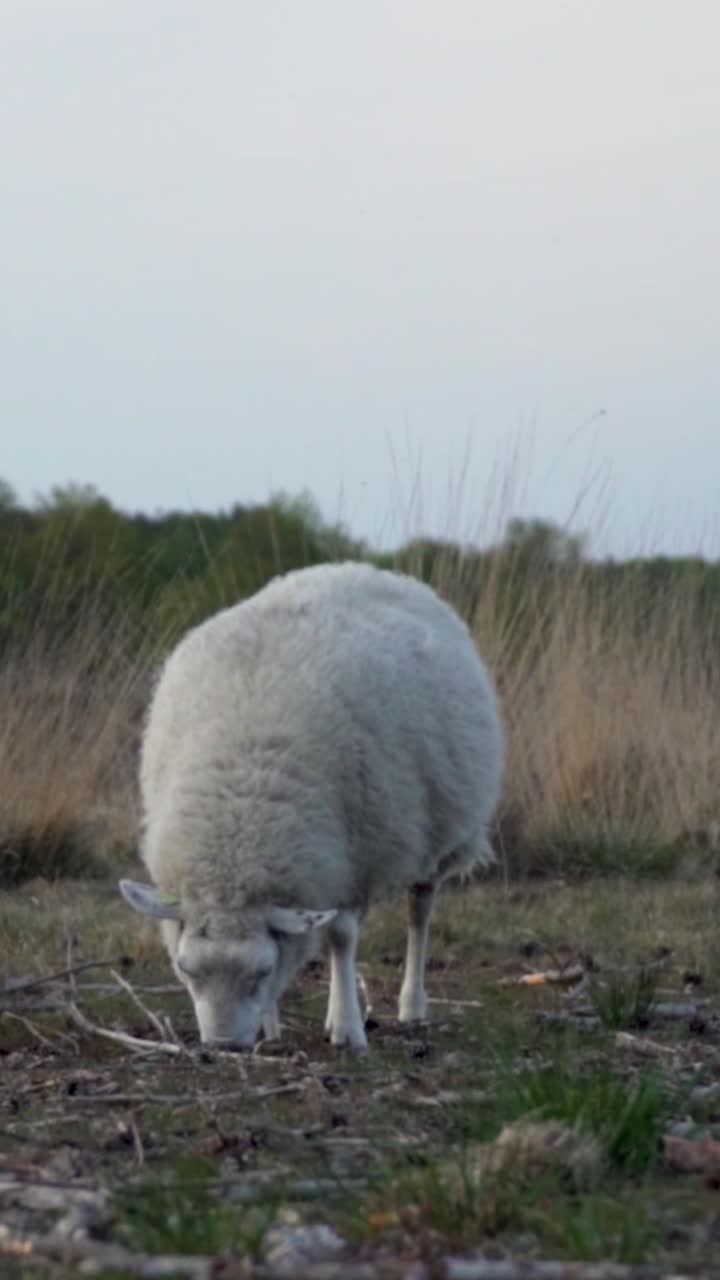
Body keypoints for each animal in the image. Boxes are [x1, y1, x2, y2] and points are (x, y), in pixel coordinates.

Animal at [119, 561, 504, 1050]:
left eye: (261, 971)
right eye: (186, 969)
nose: (223, 1046)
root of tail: (365, 569)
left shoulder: (356, 857)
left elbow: (341, 936)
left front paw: (347, 1028)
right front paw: (272, 1027)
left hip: (436, 832)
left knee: (419, 913)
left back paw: (412, 1005)